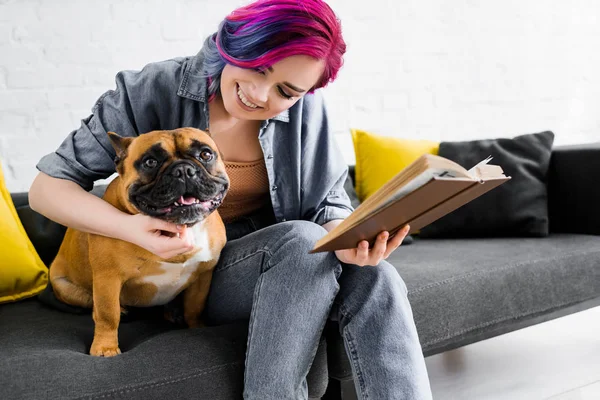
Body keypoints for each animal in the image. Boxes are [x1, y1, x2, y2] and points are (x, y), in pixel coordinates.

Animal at [47, 127, 227, 356]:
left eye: (205, 154)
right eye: (150, 162)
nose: (184, 170)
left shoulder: (204, 273)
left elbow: (194, 307)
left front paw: (196, 326)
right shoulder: (108, 278)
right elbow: (107, 314)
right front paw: (105, 347)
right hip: (66, 288)